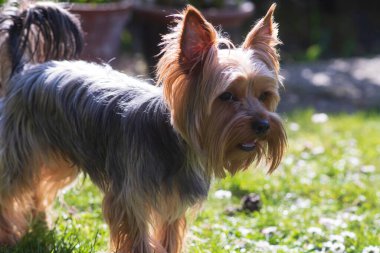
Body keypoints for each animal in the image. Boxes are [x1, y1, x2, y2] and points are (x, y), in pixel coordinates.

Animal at [0, 2, 284, 253]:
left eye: (264, 95)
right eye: (226, 96)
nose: (263, 125)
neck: (174, 141)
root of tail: (26, 70)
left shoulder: (173, 205)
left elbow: (169, 238)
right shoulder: (130, 199)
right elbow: (137, 239)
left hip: (56, 159)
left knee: (39, 188)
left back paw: (41, 228)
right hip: (20, 154)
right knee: (12, 189)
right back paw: (11, 237)